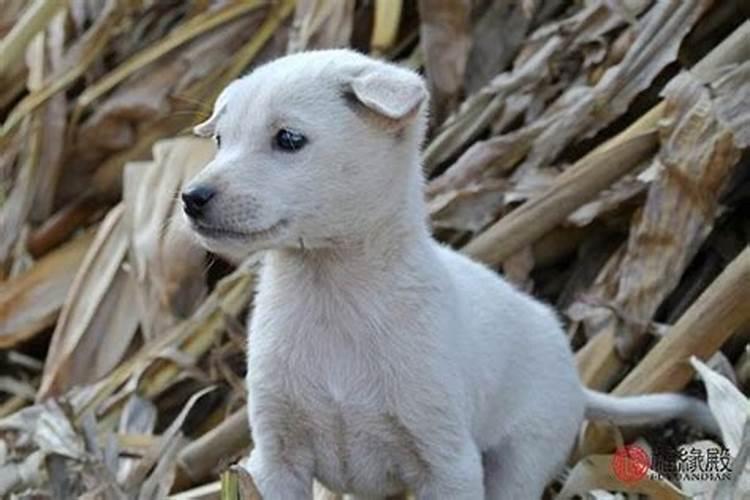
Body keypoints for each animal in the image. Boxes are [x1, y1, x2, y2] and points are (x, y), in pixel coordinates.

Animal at [185, 48, 720, 498]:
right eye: (220, 140)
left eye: (289, 139)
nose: (192, 197)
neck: (331, 292)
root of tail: (574, 376)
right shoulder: (276, 458)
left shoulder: (446, 463)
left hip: (520, 460)